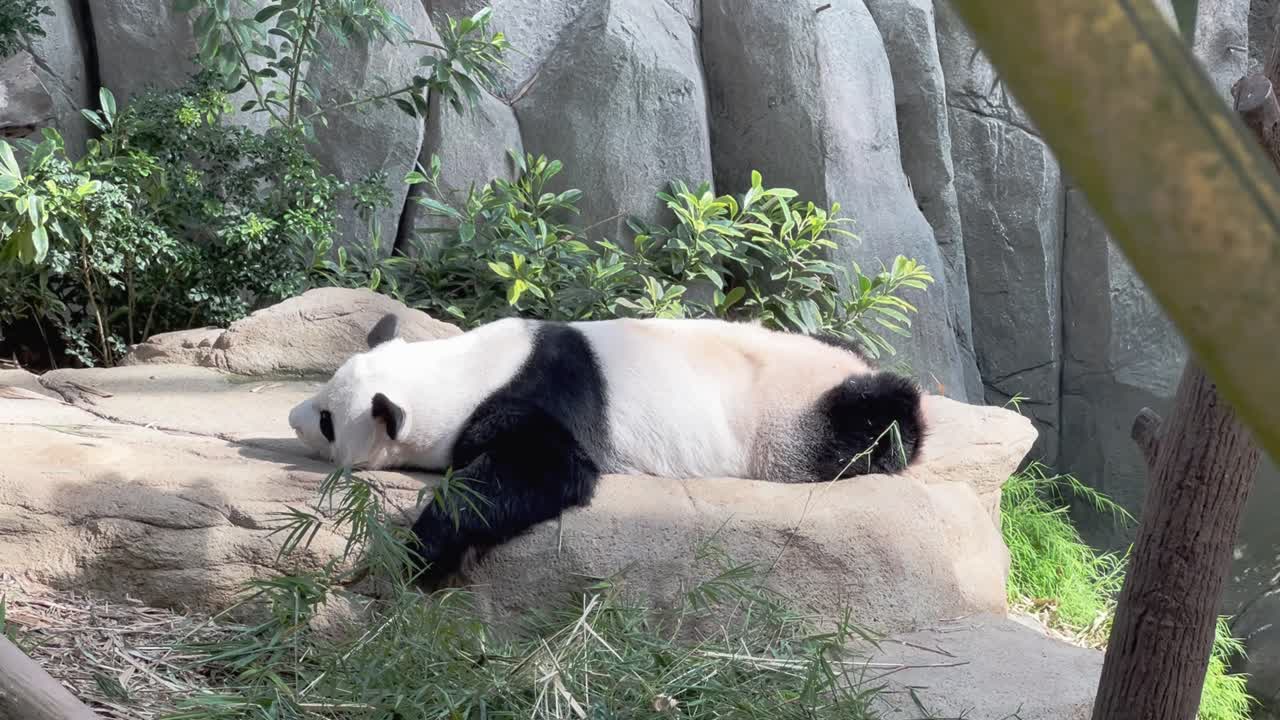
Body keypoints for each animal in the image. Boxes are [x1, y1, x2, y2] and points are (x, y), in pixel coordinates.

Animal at [287, 312, 926, 587]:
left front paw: (423, 554)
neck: (459, 370)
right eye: (322, 399)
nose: (292, 418)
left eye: (327, 421)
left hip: (791, 419)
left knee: (874, 418)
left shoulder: (544, 394)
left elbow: (546, 470)